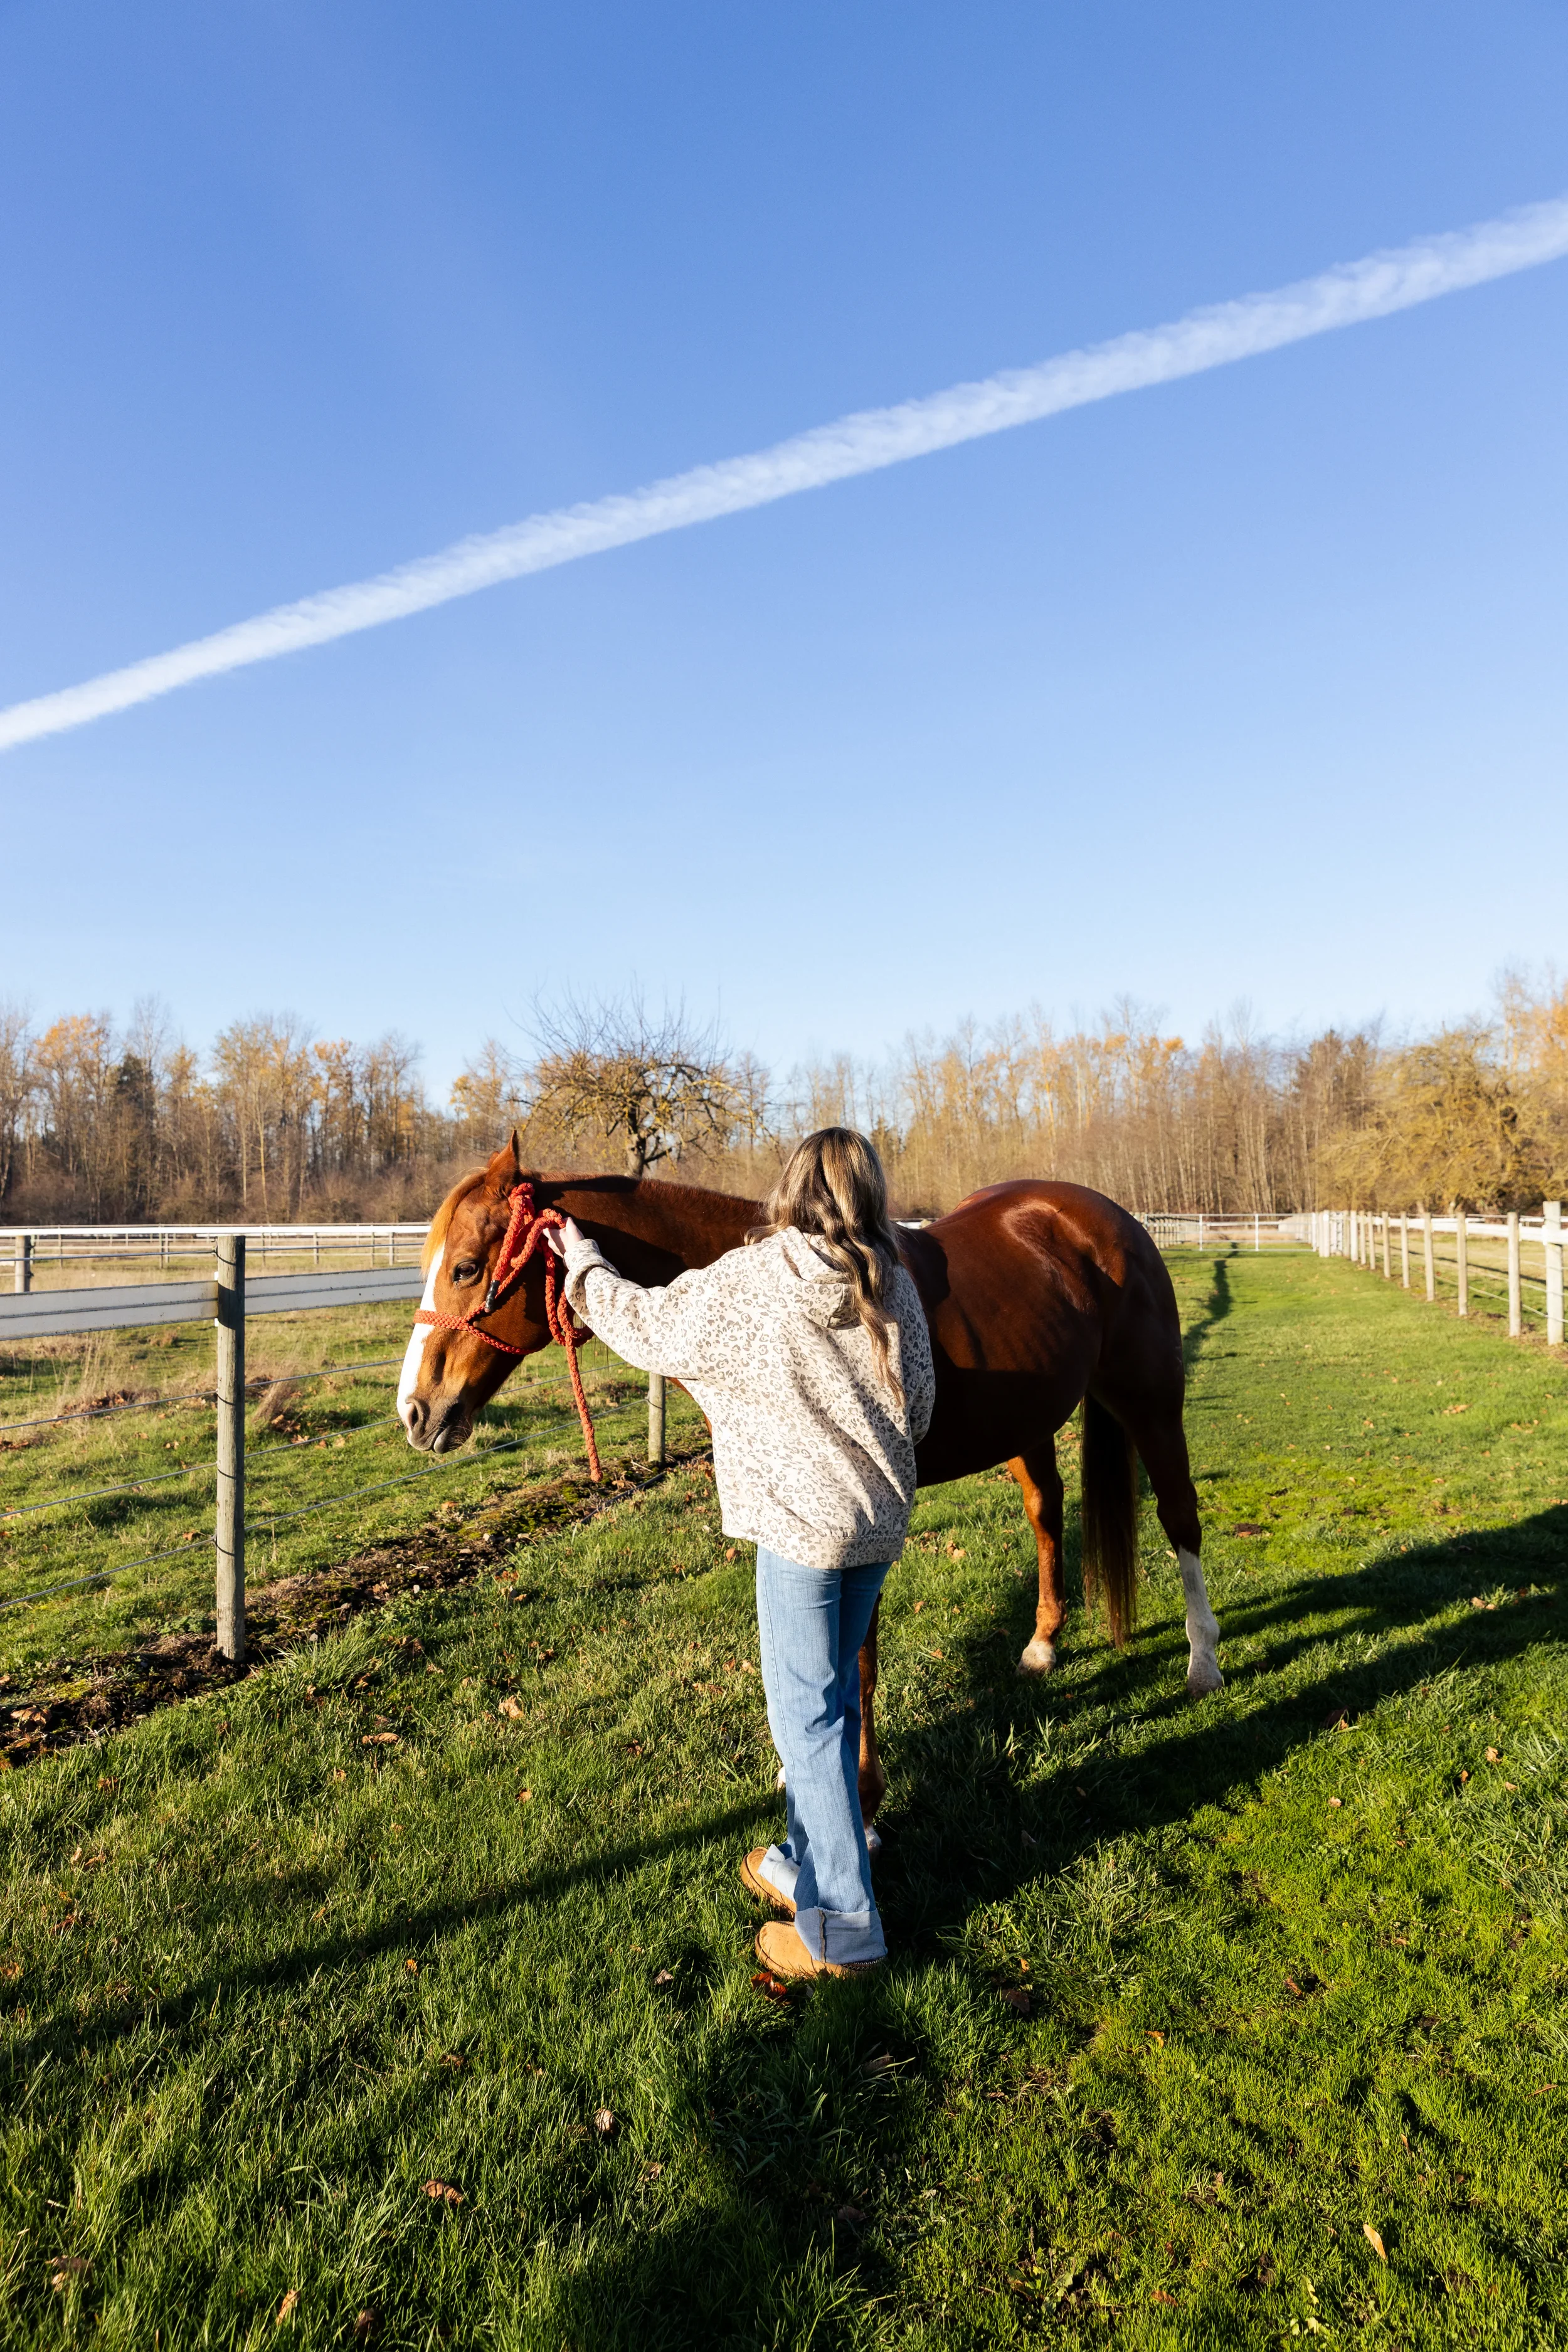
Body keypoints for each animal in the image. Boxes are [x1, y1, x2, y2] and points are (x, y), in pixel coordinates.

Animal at [397, 1136, 1222, 1835]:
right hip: (1029, 1427)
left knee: (1180, 1519)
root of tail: (1104, 1217)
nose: (416, 1411)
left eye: (467, 1267)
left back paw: (1202, 1664)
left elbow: (855, 1662)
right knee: (1047, 1514)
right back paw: (1045, 1645)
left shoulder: (861, 1516)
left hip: (1151, 1401)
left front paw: (861, 1797)